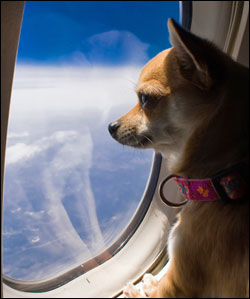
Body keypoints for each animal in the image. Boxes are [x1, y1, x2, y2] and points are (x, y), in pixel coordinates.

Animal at [108, 18, 249, 298]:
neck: (226, 180)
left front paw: (138, 290)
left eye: (144, 99)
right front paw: (147, 283)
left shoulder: (178, 283)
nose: (111, 126)